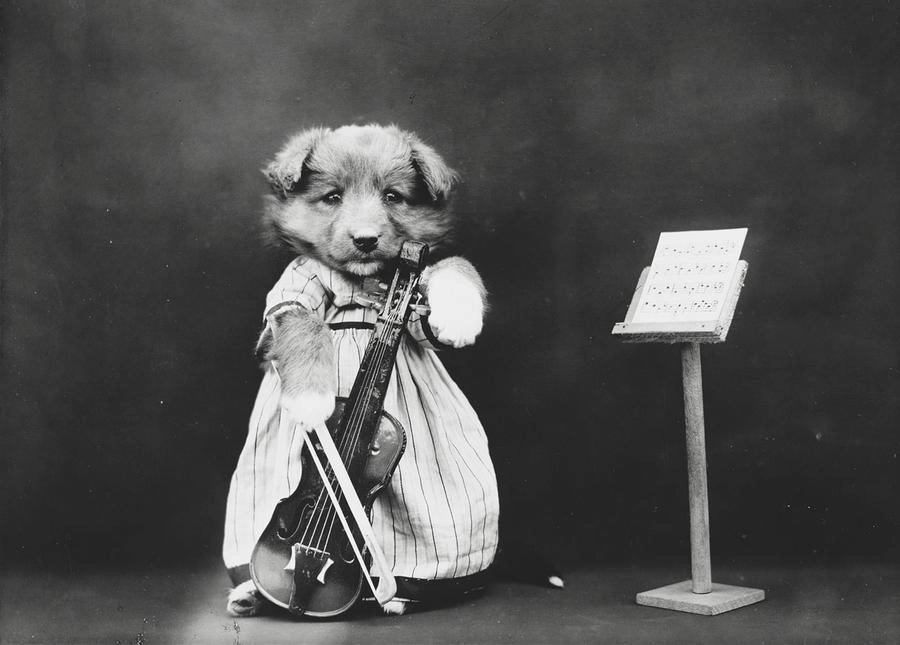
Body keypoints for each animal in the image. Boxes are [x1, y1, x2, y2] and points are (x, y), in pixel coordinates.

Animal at [223, 124, 501, 617]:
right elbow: (304, 322)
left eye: (393, 197)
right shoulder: (291, 295)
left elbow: (454, 267)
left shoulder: (417, 310)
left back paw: (397, 594)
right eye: (332, 197)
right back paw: (252, 591)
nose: (367, 240)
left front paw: (459, 315)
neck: (364, 286)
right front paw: (311, 404)